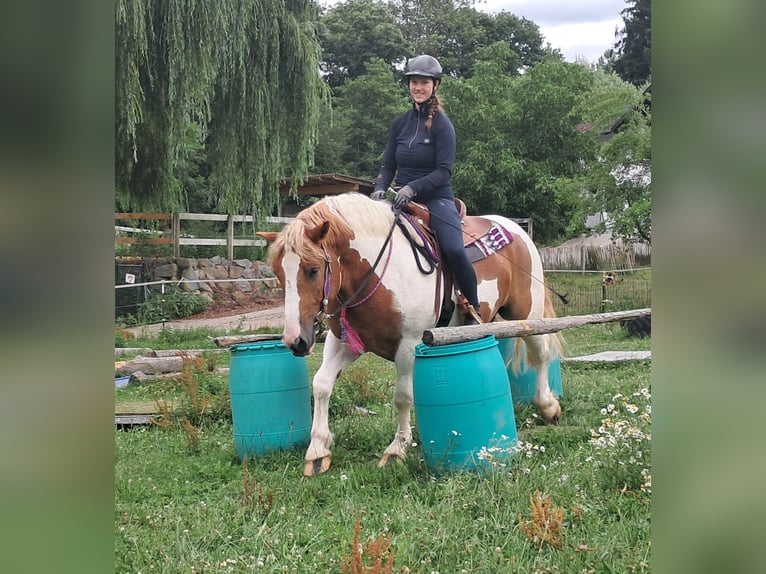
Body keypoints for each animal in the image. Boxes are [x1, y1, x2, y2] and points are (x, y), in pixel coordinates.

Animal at [260, 192, 563, 476]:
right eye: (278, 273)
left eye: (312, 270)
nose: (296, 341)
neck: (378, 273)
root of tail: (514, 228)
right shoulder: (345, 342)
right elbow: (322, 384)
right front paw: (318, 450)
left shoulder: (409, 343)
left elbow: (403, 395)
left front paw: (397, 449)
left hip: (526, 314)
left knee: (542, 353)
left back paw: (548, 405)